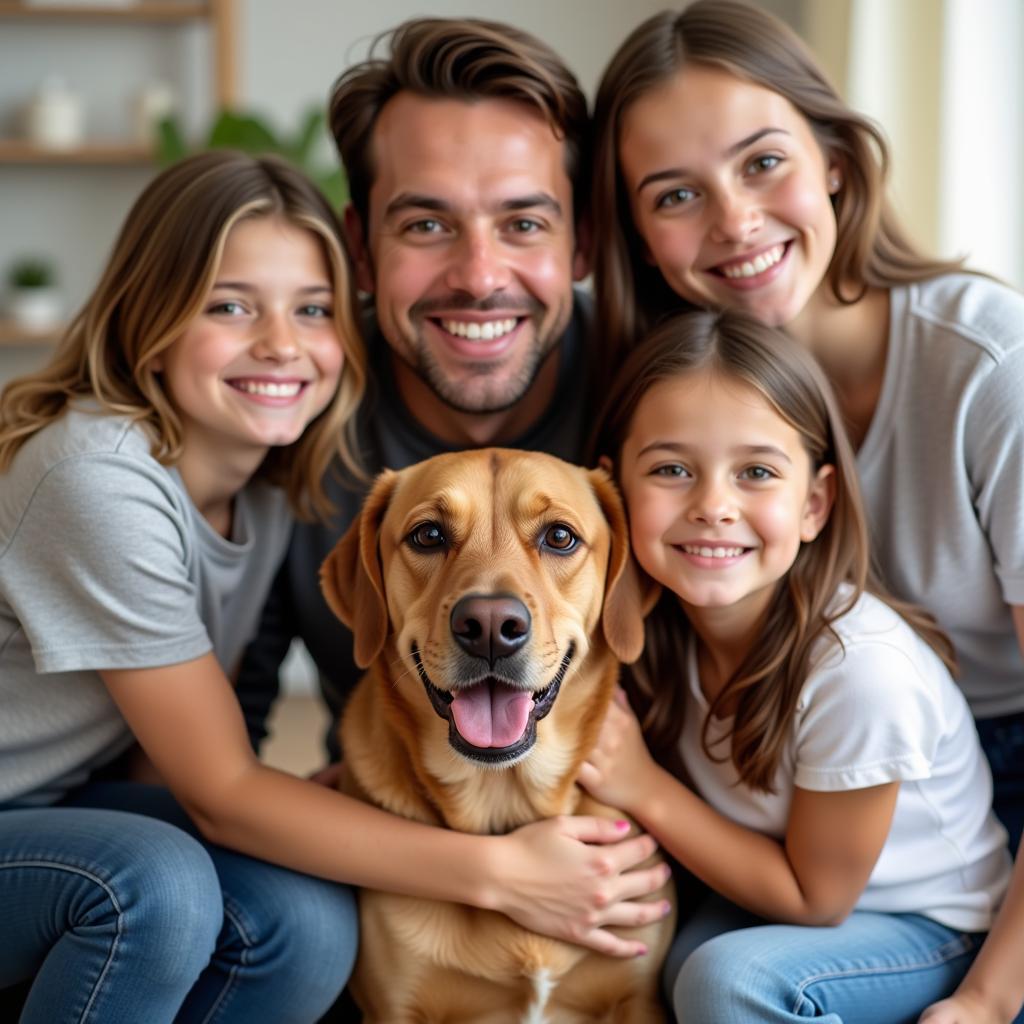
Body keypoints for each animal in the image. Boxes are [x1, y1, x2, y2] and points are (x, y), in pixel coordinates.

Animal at [319, 450, 671, 1024]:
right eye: (428, 535)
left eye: (559, 537)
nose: (488, 626)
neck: (505, 805)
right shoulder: (395, 1008)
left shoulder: (638, 998)